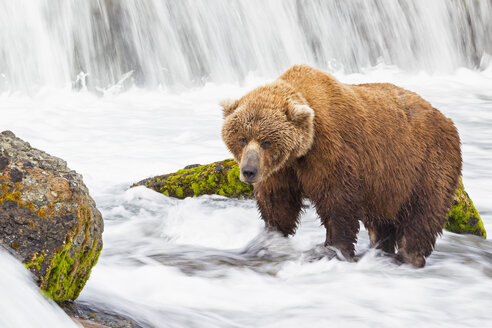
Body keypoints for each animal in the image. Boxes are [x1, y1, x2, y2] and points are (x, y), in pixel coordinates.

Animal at [222, 64, 462, 266]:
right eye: (242, 138)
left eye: (266, 141)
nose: (249, 171)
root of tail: (446, 119)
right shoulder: (281, 169)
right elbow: (278, 203)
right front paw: (270, 239)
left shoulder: (331, 150)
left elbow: (337, 201)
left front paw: (334, 250)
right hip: (387, 184)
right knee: (381, 220)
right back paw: (381, 250)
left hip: (427, 164)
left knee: (423, 214)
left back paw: (409, 256)